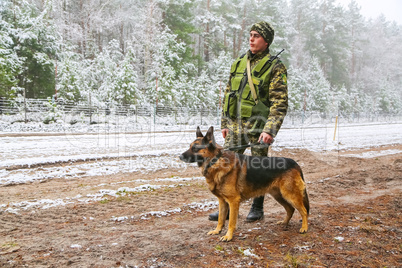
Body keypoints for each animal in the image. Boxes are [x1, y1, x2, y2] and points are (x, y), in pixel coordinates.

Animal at [180, 126, 310, 242]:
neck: (216, 160)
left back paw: (304, 228)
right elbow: (221, 219)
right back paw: (284, 222)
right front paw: (217, 231)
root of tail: (294, 163)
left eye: (195, 148)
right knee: (290, 209)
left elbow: (231, 222)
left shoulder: (233, 201)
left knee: (304, 211)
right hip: (279, 195)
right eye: (190, 147)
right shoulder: (222, 201)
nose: (180, 156)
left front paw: (228, 236)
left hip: (290, 195)